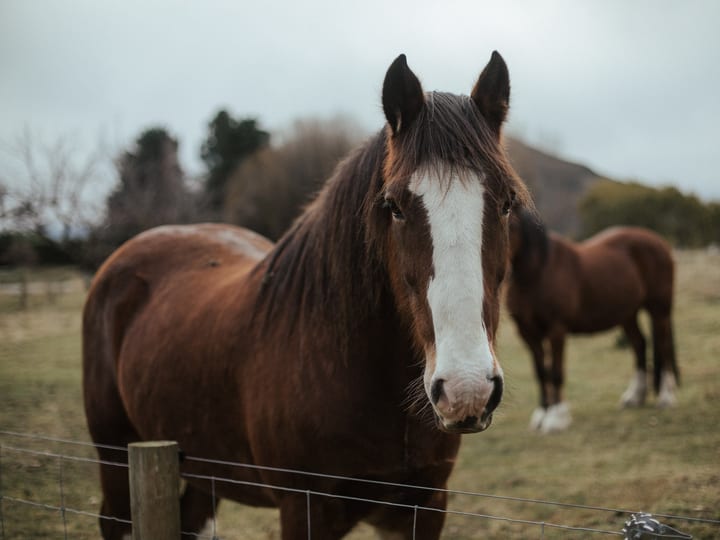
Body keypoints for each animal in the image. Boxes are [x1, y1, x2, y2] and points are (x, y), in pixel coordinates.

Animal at [83, 51, 531, 539]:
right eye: (394, 206)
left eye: (507, 203)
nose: (467, 389)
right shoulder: (304, 509)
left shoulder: (425, 507)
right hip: (117, 460)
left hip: (203, 471)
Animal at [505, 209, 679, 433]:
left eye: (510, 225)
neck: (537, 273)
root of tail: (661, 243)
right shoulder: (527, 333)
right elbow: (541, 373)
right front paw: (541, 415)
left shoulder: (556, 330)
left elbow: (556, 373)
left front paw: (556, 418)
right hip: (627, 314)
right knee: (639, 344)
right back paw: (634, 397)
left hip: (659, 310)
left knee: (664, 348)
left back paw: (666, 397)